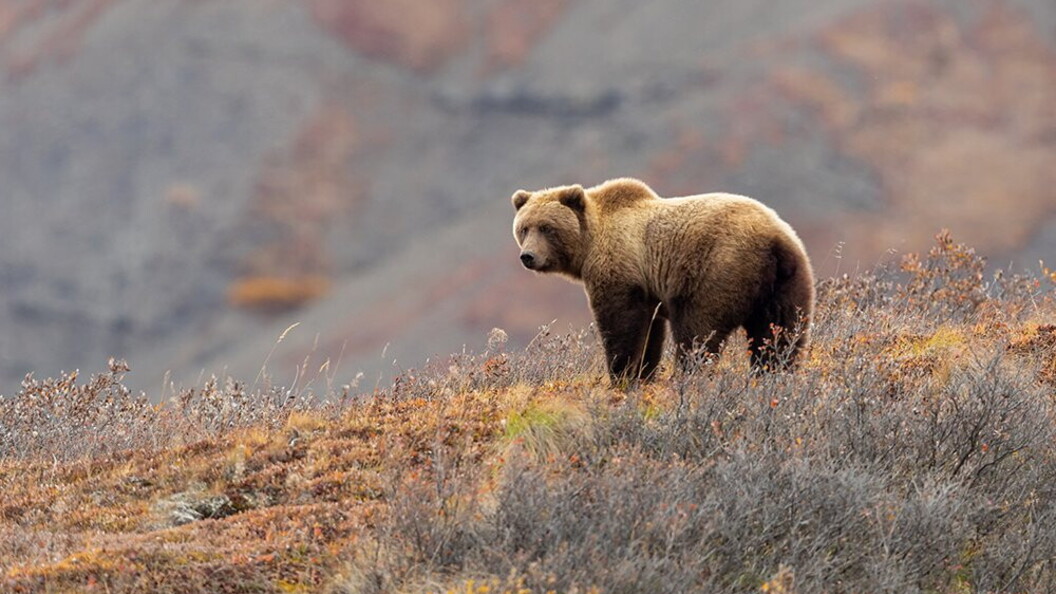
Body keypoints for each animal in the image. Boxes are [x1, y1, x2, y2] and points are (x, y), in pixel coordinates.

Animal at [511, 177, 814, 382]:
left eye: (547, 228)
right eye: (524, 228)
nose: (528, 256)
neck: (590, 243)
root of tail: (774, 240)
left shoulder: (621, 269)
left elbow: (620, 324)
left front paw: (621, 375)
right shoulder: (648, 290)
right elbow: (650, 333)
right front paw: (643, 374)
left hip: (717, 270)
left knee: (697, 331)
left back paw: (689, 376)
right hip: (787, 282)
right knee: (781, 333)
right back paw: (773, 374)